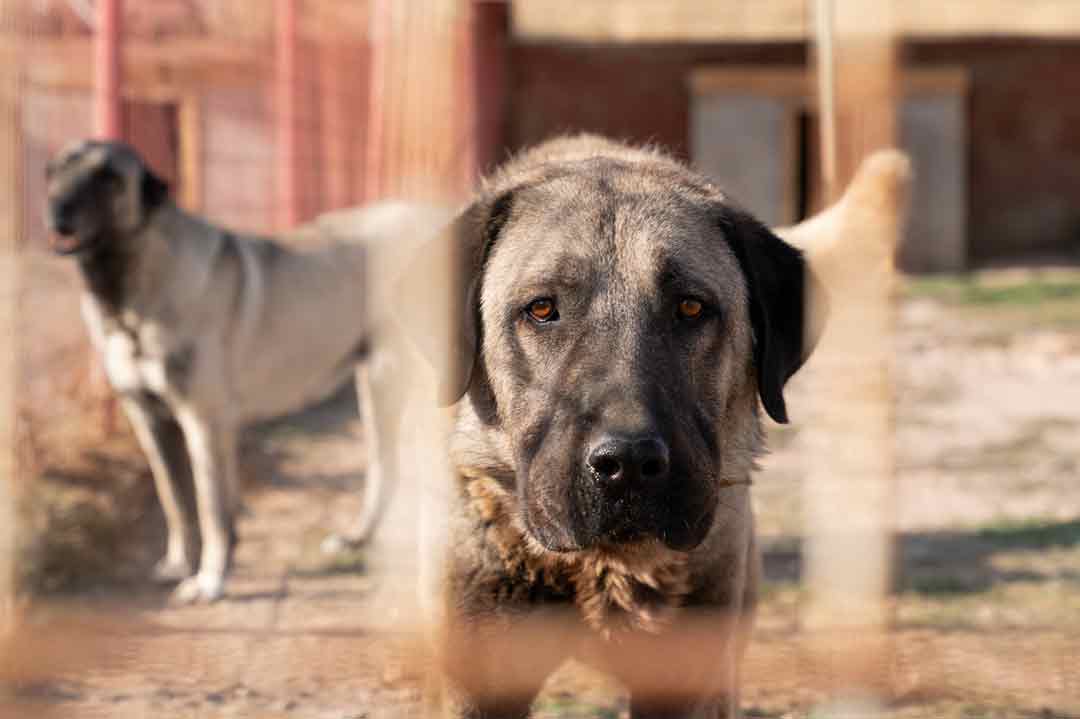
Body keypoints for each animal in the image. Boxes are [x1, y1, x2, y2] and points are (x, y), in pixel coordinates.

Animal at [43, 140, 429, 600]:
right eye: (58, 169)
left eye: (108, 177)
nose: (57, 207)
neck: (132, 294)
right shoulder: (152, 422)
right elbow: (177, 501)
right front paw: (182, 563)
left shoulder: (204, 422)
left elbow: (211, 509)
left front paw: (210, 580)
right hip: (376, 384)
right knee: (386, 469)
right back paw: (357, 539)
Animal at [399, 136, 911, 716]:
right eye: (542, 309)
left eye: (690, 307)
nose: (626, 464)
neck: (601, 567)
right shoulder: (473, 677)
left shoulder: (689, 678)